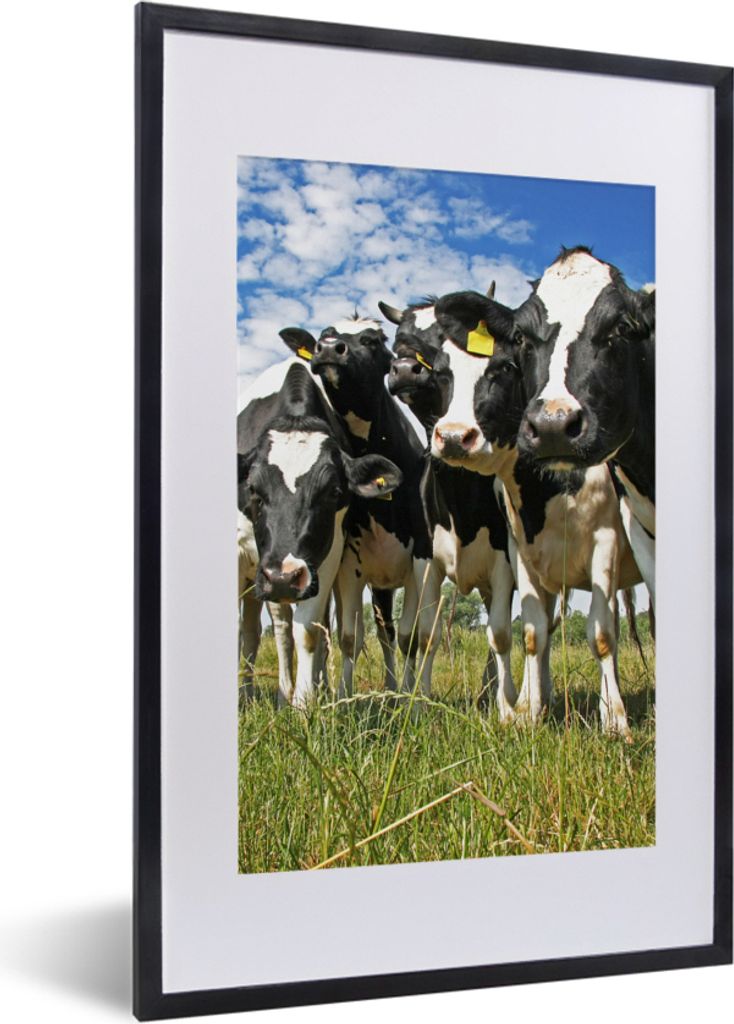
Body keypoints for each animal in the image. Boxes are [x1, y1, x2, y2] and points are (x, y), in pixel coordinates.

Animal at [237, 358, 402, 709]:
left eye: (333, 492)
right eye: (253, 490)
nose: (283, 577)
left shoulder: (327, 556)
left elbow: (310, 631)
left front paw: (303, 704)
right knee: (271, 630)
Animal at [279, 316, 443, 700]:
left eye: (373, 339)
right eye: (325, 334)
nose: (329, 349)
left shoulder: (420, 558)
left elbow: (410, 636)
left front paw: (412, 697)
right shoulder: (347, 565)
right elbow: (350, 637)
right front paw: (343, 695)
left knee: (395, 633)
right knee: (382, 631)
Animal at [380, 297, 517, 721]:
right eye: (398, 342)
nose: (405, 370)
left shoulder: (505, 562)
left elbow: (501, 633)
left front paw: (508, 709)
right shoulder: (425, 561)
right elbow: (425, 635)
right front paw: (419, 705)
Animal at [424, 289, 642, 738]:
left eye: (505, 367)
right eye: (440, 374)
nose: (453, 437)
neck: (548, 489)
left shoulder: (606, 542)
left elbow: (602, 636)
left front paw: (615, 722)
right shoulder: (522, 552)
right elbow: (531, 633)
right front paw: (528, 712)